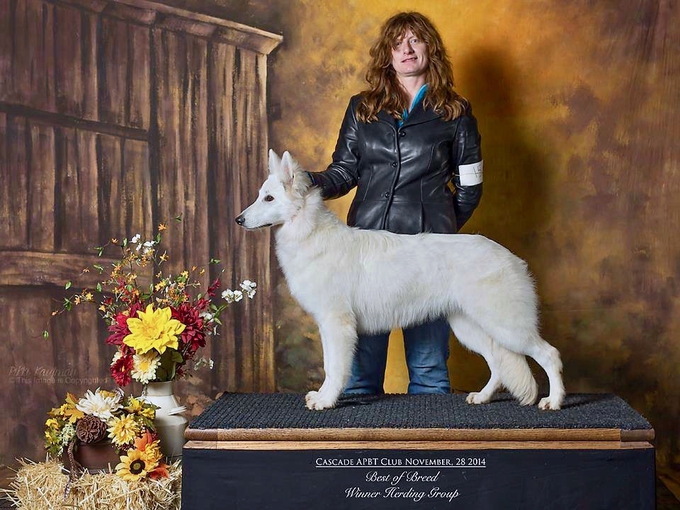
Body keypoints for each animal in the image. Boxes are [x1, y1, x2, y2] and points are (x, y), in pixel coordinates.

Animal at [236, 148, 564, 410]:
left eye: (268, 198)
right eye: (260, 196)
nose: (238, 220)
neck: (309, 232)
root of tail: (510, 257)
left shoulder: (336, 325)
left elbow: (334, 368)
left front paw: (326, 401)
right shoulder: (328, 326)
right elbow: (331, 365)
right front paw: (324, 397)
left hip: (506, 326)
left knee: (550, 355)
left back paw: (554, 401)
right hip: (471, 328)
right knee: (498, 363)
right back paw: (482, 397)